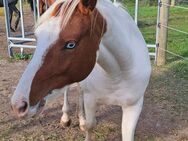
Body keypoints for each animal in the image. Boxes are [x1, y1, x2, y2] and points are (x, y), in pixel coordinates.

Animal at [10, 0, 151, 140]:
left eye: (70, 44)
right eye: (37, 37)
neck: (118, 74)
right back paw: (66, 118)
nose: (18, 105)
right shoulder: (90, 100)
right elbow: (90, 125)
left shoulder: (134, 107)